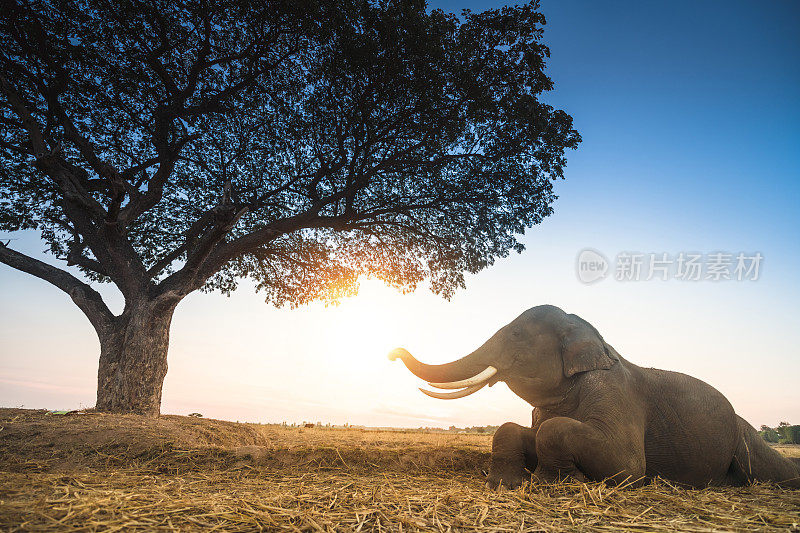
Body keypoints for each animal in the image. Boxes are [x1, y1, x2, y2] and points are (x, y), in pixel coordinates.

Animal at [390, 306, 800, 488]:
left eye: (516, 336)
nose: (393, 352)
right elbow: (515, 429)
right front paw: (503, 484)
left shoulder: (616, 393)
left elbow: (628, 465)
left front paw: (551, 482)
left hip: (745, 437)